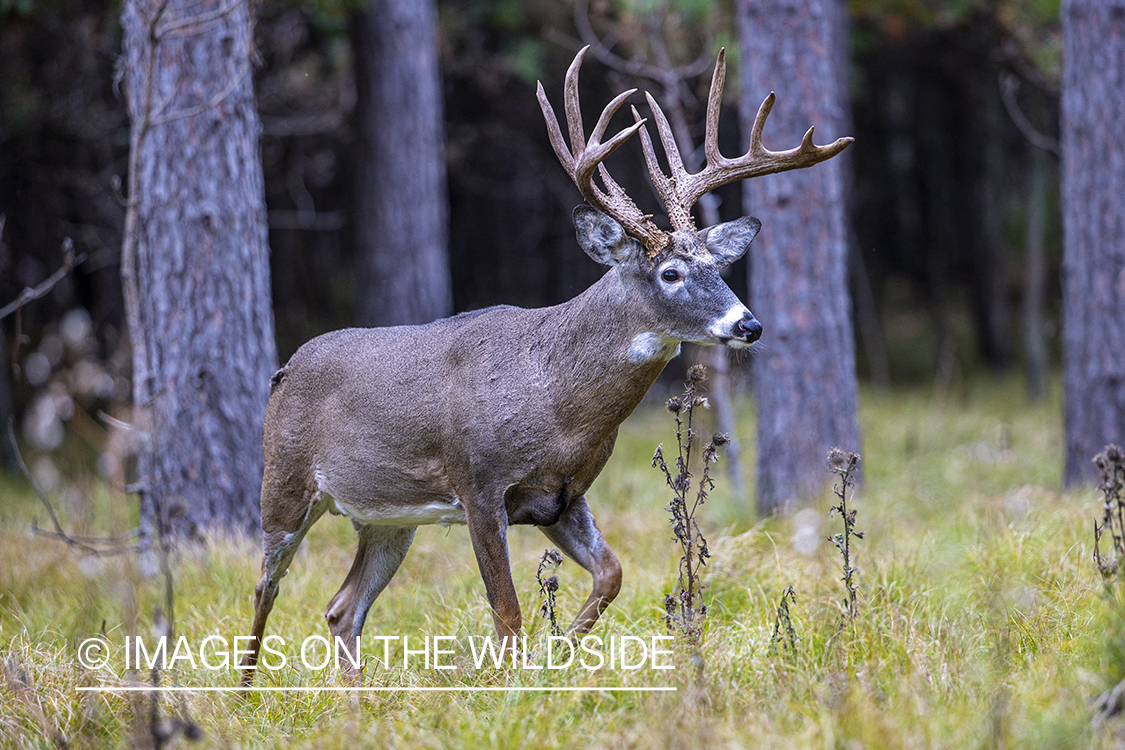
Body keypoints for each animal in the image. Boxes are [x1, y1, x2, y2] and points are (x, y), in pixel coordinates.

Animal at [239, 46, 850, 688]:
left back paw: (351, 698)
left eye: (717, 265)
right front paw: (514, 684)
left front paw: (553, 659)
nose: (749, 325)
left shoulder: (562, 496)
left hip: (386, 519)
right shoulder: (478, 484)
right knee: (265, 585)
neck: (556, 401)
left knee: (341, 607)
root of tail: (284, 370)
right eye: (671, 273)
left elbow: (612, 574)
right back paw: (246, 692)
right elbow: (507, 614)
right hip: (284, 484)